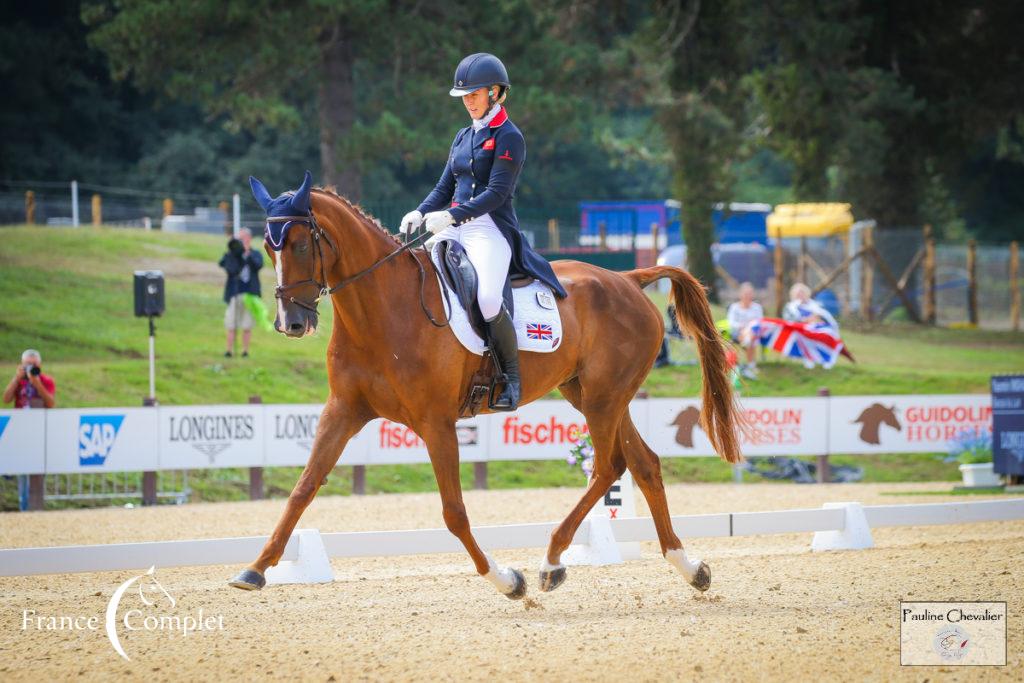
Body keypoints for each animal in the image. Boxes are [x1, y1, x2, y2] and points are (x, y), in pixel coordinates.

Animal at [228, 175, 741, 598]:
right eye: (269, 249)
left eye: (299, 245)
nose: (291, 323)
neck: (383, 310)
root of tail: (629, 278)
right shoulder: (343, 410)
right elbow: (303, 487)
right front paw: (255, 569)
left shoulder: (436, 422)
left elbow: (454, 512)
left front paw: (507, 580)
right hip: (594, 394)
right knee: (644, 464)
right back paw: (689, 567)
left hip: (603, 398)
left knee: (608, 467)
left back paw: (551, 561)